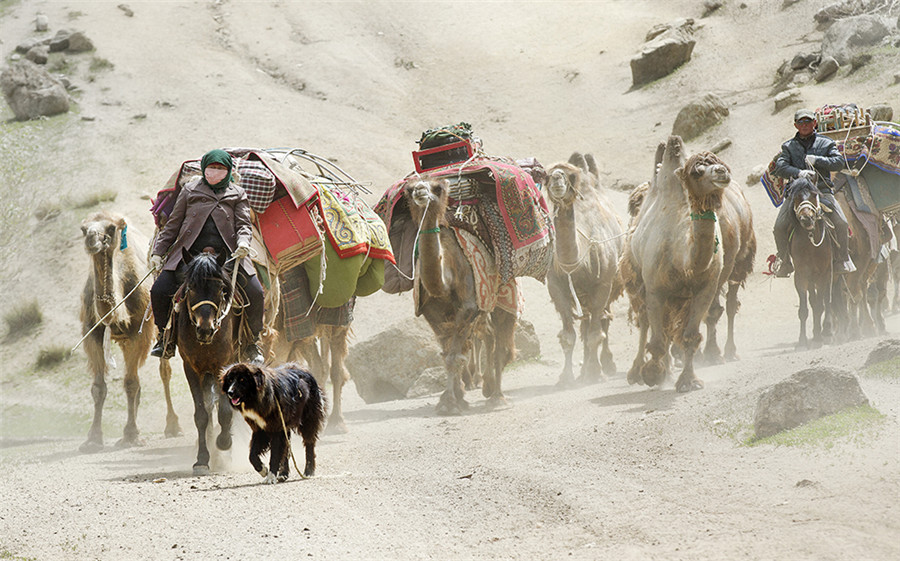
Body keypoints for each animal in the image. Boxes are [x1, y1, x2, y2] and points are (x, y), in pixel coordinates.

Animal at [78, 212, 181, 452]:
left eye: (111, 228)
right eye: (83, 229)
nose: (91, 239)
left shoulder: (137, 333)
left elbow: (130, 384)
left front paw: (131, 435)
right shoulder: (92, 332)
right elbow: (98, 387)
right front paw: (93, 439)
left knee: (164, 371)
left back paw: (172, 426)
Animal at [175, 249, 239, 472]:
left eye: (220, 289)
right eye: (191, 287)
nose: (205, 329)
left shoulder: (224, 366)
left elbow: (226, 412)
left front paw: (225, 442)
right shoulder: (191, 369)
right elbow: (202, 415)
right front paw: (202, 458)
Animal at [400, 177, 516, 414]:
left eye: (437, 188)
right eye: (410, 189)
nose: (420, 191)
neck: (444, 280)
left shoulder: (469, 306)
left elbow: (455, 356)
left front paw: (450, 404)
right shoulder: (432, 312)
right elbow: (448, 355)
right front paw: (455, 398)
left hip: (503, 297)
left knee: (500, 342)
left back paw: (496, 398)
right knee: (488, 335)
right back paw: (487, 387)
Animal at [544, 152, 624, 384]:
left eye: (570, 175)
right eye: (546, 175)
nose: (557, 179)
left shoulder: (603, 284)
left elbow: (597, 333)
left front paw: (596, 373)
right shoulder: (555, 286)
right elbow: (568, 336)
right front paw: (566, 377)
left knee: (602, 321)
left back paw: (605, 365)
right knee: (585, 325)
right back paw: (583, 371)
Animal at [788, 177, 836, 348]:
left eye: (815, 195)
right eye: (795, 197)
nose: (806, 218)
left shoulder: (823, 274)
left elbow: (821, 305)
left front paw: (820, 338)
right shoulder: (801, 276)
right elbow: (804, 309)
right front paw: (802, 341)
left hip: (829, 274)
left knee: (827, 300)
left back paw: (826, 332)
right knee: (815, 302)